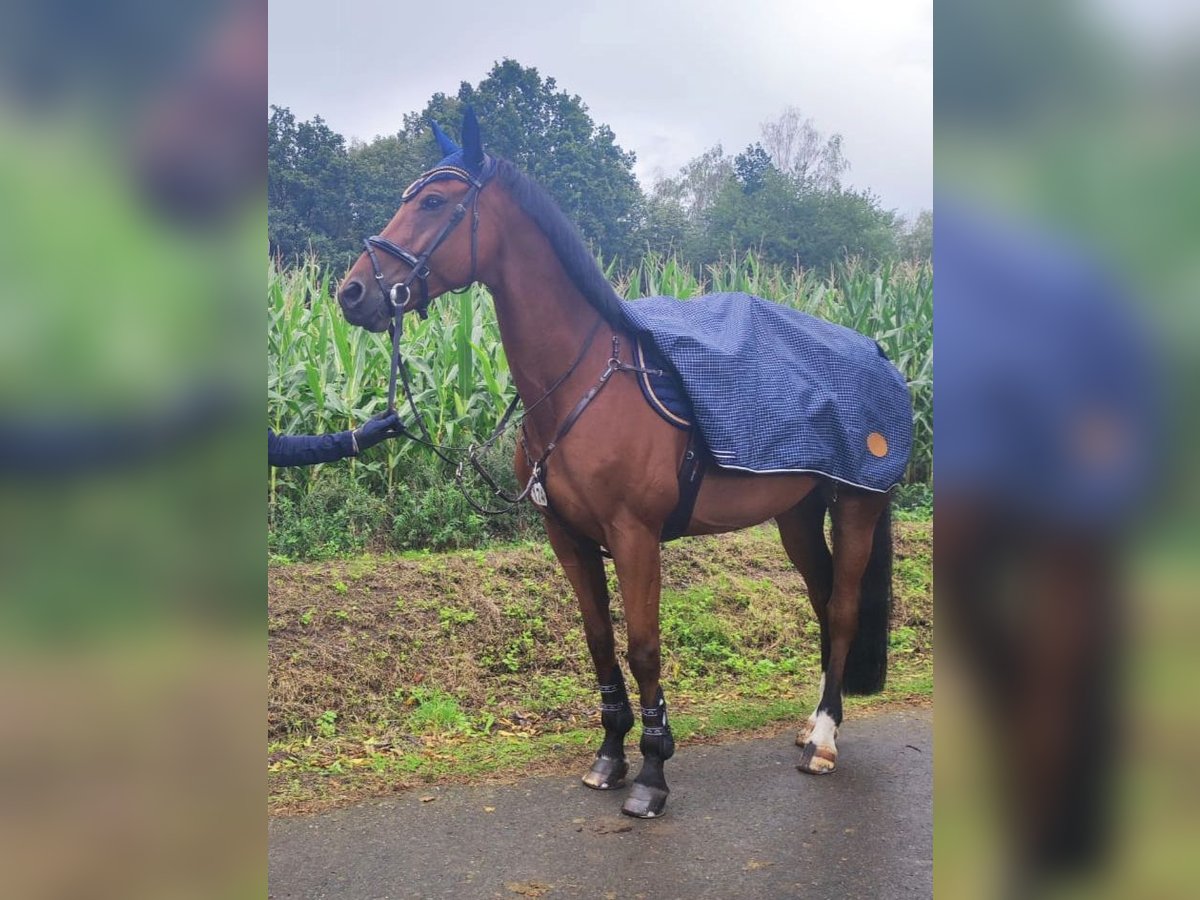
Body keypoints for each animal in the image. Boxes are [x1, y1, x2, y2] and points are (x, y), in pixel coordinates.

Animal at [336, 109, 899, 818]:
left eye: (434, 201)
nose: (352, 293)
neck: (579, 386)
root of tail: (879, 353)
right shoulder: (569, 539)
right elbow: (600, 642)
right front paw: (609, 755)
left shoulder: (635, 537)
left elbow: (643, 648)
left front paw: (653, 774)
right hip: (797, 513)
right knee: (823, 601)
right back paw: (815, 725)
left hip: (858, 503)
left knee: (845, 608)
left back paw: (823, 741)